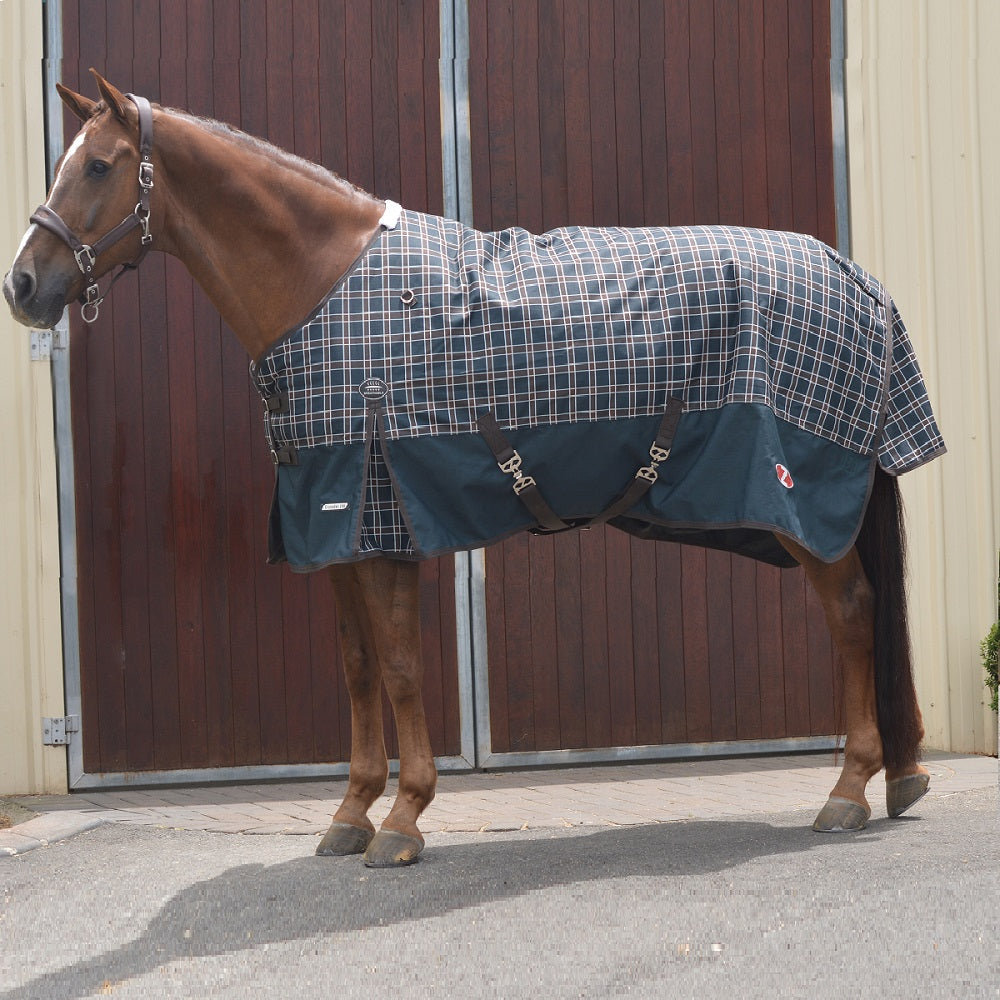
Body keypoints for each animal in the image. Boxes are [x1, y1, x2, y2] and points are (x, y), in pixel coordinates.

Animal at [4, 72, 940, 867]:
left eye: (96, 166)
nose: (21, 285)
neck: (323, 288)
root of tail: (858, 278)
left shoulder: (383, 516)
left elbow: (401, 667)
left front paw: (404, 819)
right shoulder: (329, 526)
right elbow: (357, 669)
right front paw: (351, 812)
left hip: (807, 499)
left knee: (853, 615)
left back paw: (849, 790)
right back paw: (895, 778)